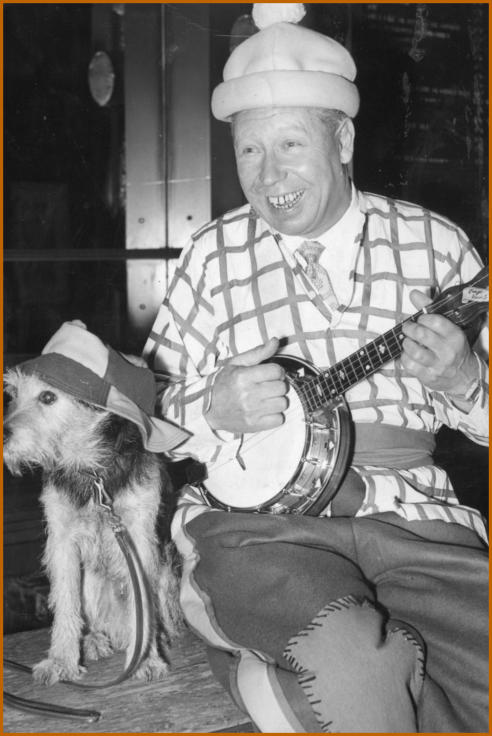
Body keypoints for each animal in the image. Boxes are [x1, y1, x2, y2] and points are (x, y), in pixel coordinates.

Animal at [3, 323, 188, 686]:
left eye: (48, 397)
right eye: (13, 394)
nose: (2, 435)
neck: (92, 472)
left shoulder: (139, 537)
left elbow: (141, 606)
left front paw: (145, 659)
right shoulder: (62, 541)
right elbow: (65, 603)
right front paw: (61, 660)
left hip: (166, 571)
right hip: (90, 578)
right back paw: (95, 640)